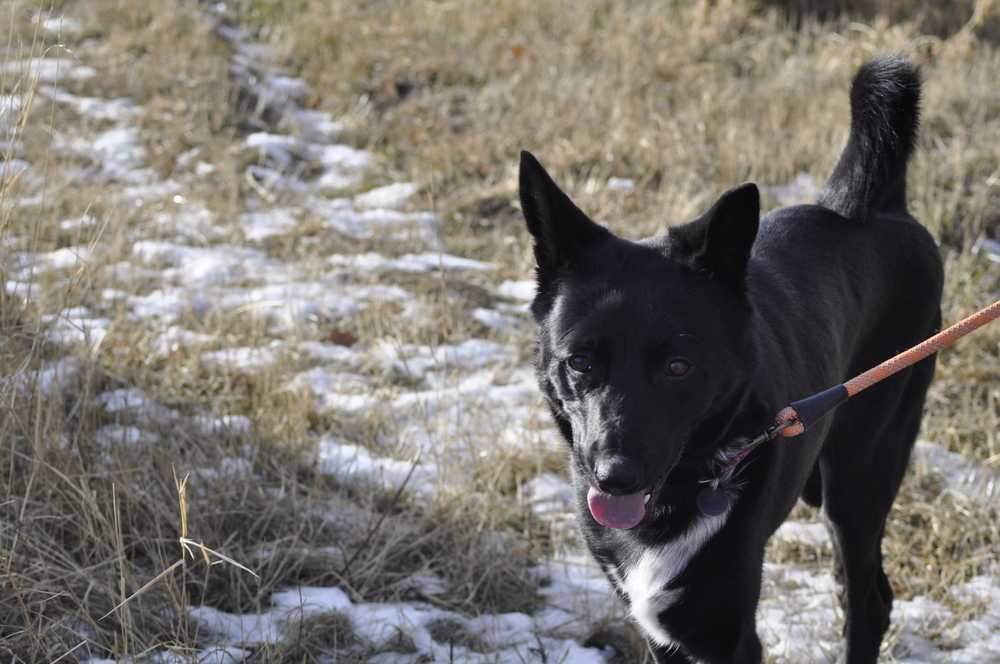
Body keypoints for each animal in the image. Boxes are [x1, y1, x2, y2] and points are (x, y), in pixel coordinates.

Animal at [520, 58, 940, 664]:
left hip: (862, 472)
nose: (615, 478)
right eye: (580, 362)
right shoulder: (660, 629)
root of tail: (871, 205)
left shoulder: (722, 631)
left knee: (871, 598)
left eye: (678, 367)